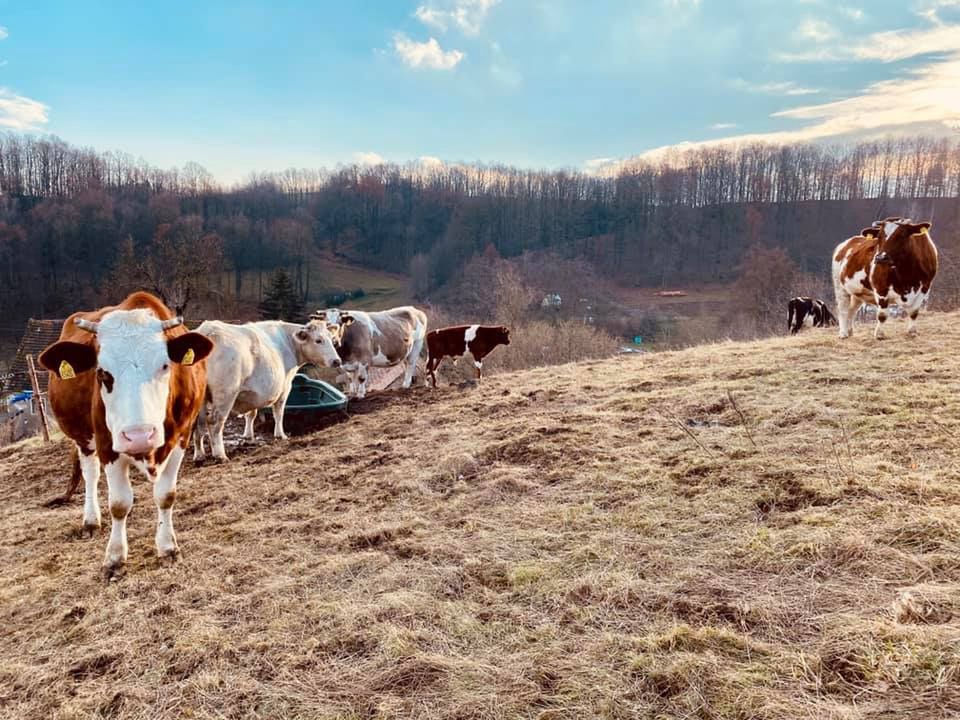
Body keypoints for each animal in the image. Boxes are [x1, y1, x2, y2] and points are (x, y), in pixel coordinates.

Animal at [38, 290, 213, 576]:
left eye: (165, 366)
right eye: (102, 373)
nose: (140, 436)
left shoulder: (181, 437)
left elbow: (166, 496)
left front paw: (168, 548)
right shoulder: (107, 445)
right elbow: (119, 504)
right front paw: (115, 557)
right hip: (85, 440)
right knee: (90, 474)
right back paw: (91, 521)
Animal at [190, 320, 342, 462]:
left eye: (332, 339)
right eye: (318, 340)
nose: (337, 361)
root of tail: (208, 330)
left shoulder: (252, 394)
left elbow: (251, 414)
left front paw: (248, 435)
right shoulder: (285, 386)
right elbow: (279, 413)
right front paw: (280, 435)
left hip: (201, 398)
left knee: (199, 423)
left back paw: (199, 455)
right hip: (225, 394)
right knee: (214, 422)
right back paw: (220, 455)